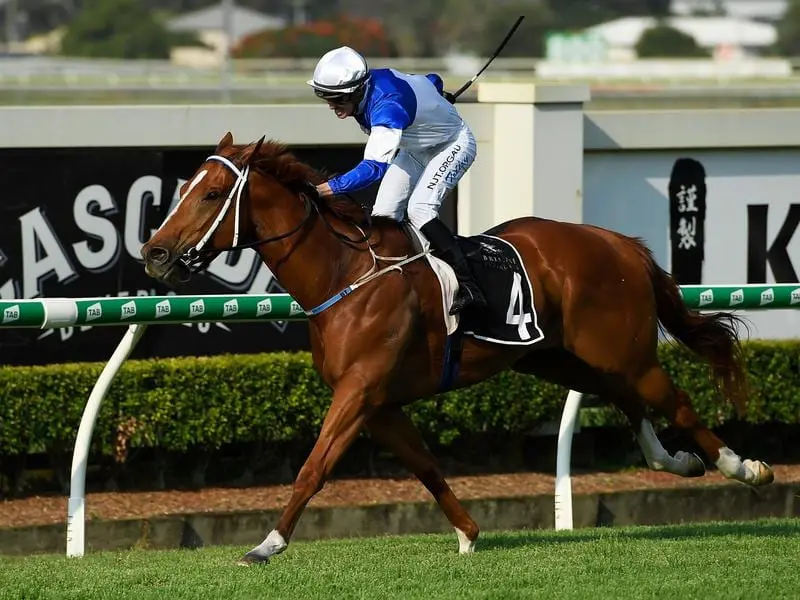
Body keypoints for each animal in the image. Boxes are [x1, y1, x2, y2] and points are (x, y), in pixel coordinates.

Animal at [141, 134, 772, 564]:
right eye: (183, 190)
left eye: (213, 194)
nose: (154, 253)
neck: (345, 274)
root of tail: (622, 244)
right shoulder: (380, 403)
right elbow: (425, 465)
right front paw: (468, 532)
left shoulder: (359, 391)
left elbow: (313, 467)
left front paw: (267, 544)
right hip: (558, 358)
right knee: (631, 403)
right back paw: (680, 462)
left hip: (625, 354)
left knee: (677, 403)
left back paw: (742, 466)